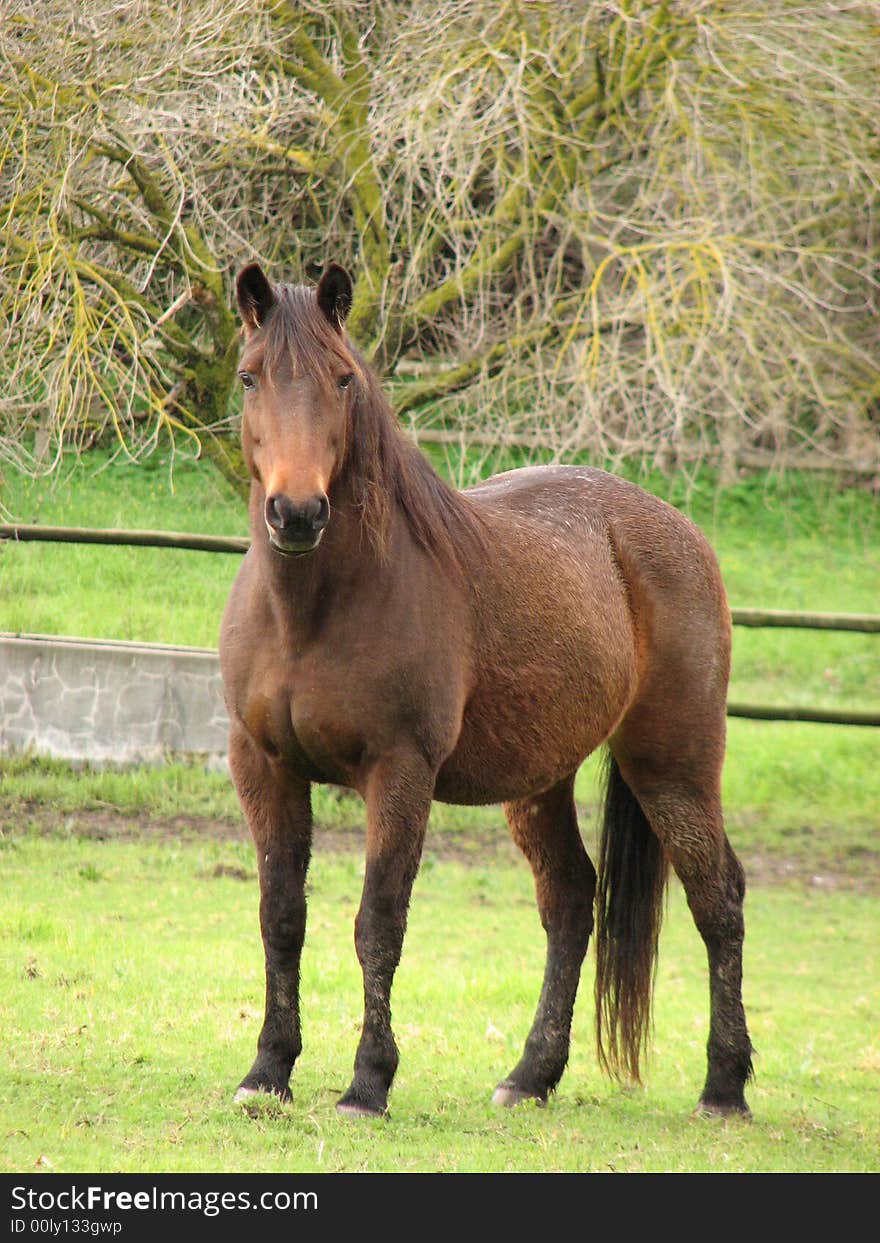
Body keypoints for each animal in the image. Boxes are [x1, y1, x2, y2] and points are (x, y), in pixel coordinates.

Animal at [218, 259, 750, 1118]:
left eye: (341, 379)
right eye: (248, 376)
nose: (296, 513)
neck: (314, 611)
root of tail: (680, 532)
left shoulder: (399, 771)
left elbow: (378, 923)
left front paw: (368, 1082)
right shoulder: (263, 766)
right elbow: (281, 917)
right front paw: (268, 1070)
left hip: (673, 765)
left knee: (718, 898)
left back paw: (725, 1084)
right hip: (540, 782)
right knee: (570, 899)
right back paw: (531, 1075)